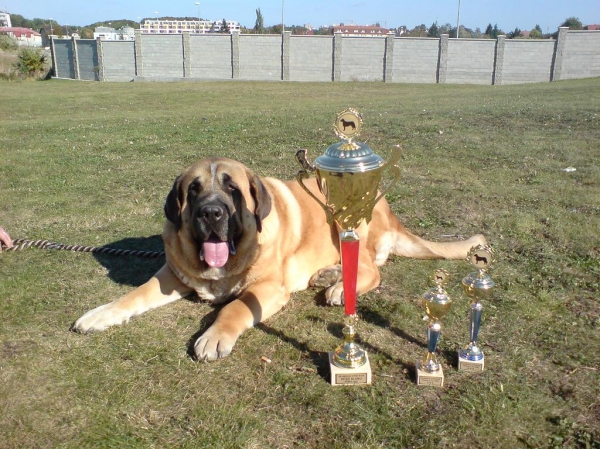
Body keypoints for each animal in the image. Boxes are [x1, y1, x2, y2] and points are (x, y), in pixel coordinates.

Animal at [72, 156, 486, 358]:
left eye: (232, 189)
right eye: (193, 190)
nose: (211, 213)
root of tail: (389, 210)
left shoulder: (268, 287)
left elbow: (232, 308)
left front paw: (214, 337)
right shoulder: (171, 276)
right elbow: (135, 294)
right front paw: (99, 314)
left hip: (345, 219)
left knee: (371, 268)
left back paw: (338, 286)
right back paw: (328, 275)